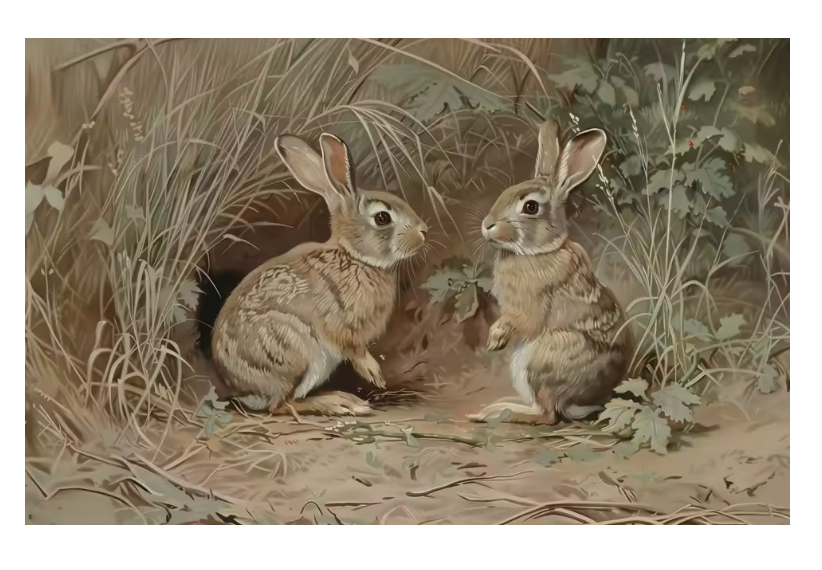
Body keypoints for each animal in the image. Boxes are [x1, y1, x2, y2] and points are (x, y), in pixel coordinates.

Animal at [211, 132, 429, 416]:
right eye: (382, 217)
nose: (423, 231)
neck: (355, 257)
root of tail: (242, 390)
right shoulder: (341, 325)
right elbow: (354, 349)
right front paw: (374, 374)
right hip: (294, 351)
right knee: (280, 406)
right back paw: (338, 403)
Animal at [467, 119, 634, 425]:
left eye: (530, 207)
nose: (487, 225)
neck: (537, 252)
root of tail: (576, 402)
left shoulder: (529, 307)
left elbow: (522, 320)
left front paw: (495, 339)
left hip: (539, 359)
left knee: (547, 415)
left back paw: (494, 413)